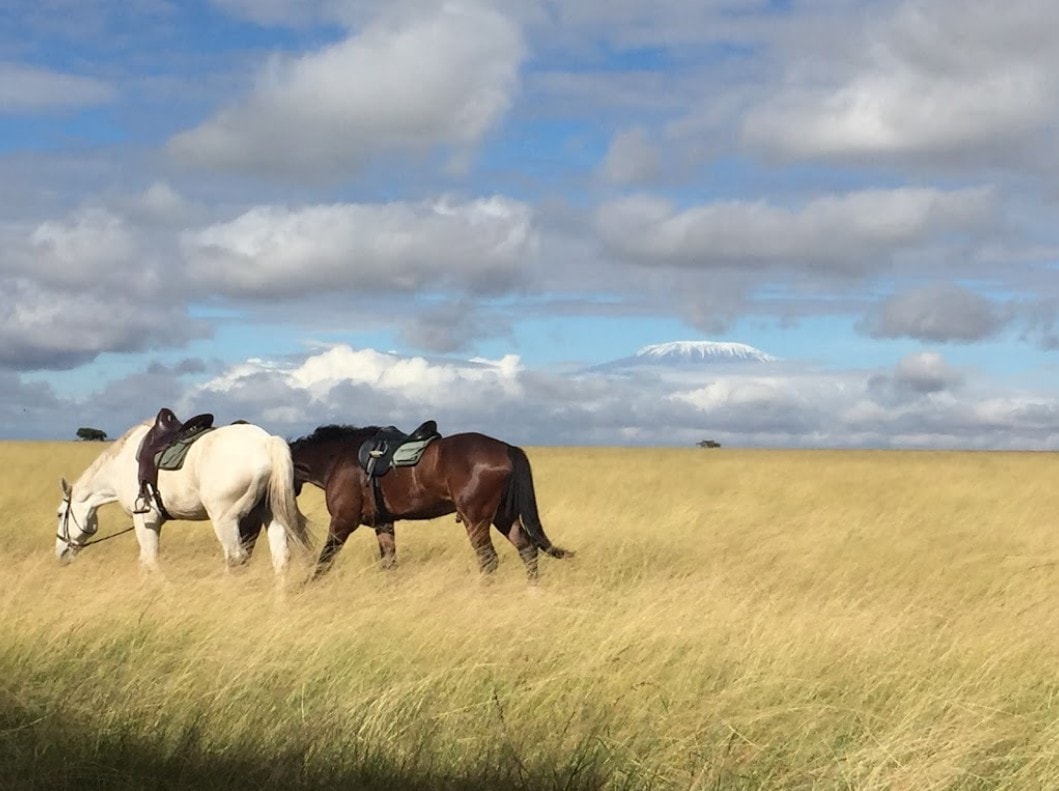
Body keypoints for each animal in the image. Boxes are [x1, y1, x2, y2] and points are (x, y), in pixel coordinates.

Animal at [55, 417, 309, 580]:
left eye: (59, 514)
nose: (60, 553)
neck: (120, 465)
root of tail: (266, 442)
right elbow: (146, 562)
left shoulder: (145, 520)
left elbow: (149, 561)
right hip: (272, 516)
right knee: (281, 560)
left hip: (225, 520)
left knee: (235, 558)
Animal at [288, 427, 571, 580]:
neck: (337, 458)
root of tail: (507, 448)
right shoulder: (383, 524)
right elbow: (389, 564)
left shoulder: (342, 523)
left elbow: (323, 561)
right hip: (503, 517)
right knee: (528, 550)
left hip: (476, 520)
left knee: (489, 560)